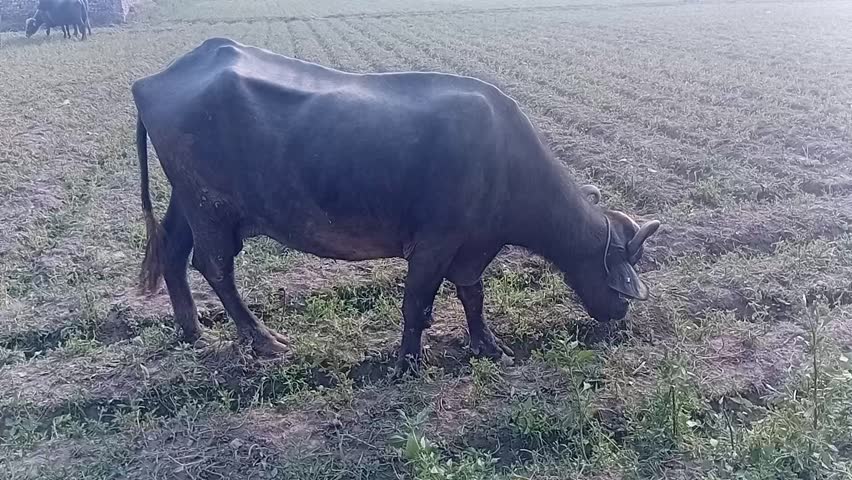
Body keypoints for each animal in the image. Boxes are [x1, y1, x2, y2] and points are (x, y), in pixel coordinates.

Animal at [132, 38, 661, 375]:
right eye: (626, 263)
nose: (621, 315)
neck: (504, 159)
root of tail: (152, 82)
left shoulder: (475, 246)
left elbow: (472, 294)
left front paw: (489, 347)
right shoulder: (434, 244)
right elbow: (416, 304)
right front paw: (408, 365)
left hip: (188, 198)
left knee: (174, 251)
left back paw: (193, 331)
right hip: (213, 207)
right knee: (214, 266)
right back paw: (264, 340)